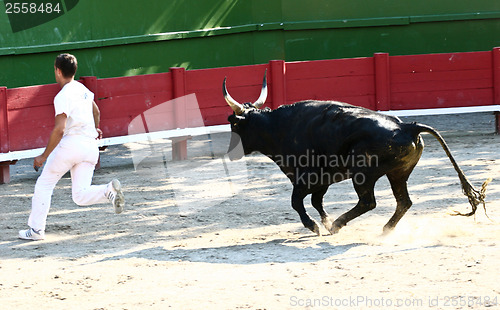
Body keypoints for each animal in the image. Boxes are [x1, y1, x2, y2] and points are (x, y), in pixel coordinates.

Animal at [225, 72, 490, 235]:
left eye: (235, 126)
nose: (230, 154)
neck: (278, 127)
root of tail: (408, 126)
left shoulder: (306, 178)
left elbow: (297, 201)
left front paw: (316, 226)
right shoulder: (323, 179)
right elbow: (316, 201)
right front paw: (324, 222)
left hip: (364, 174)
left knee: (368, 201)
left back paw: (339, 224)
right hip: (398, 173)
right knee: (403, 201)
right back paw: (384, 230)